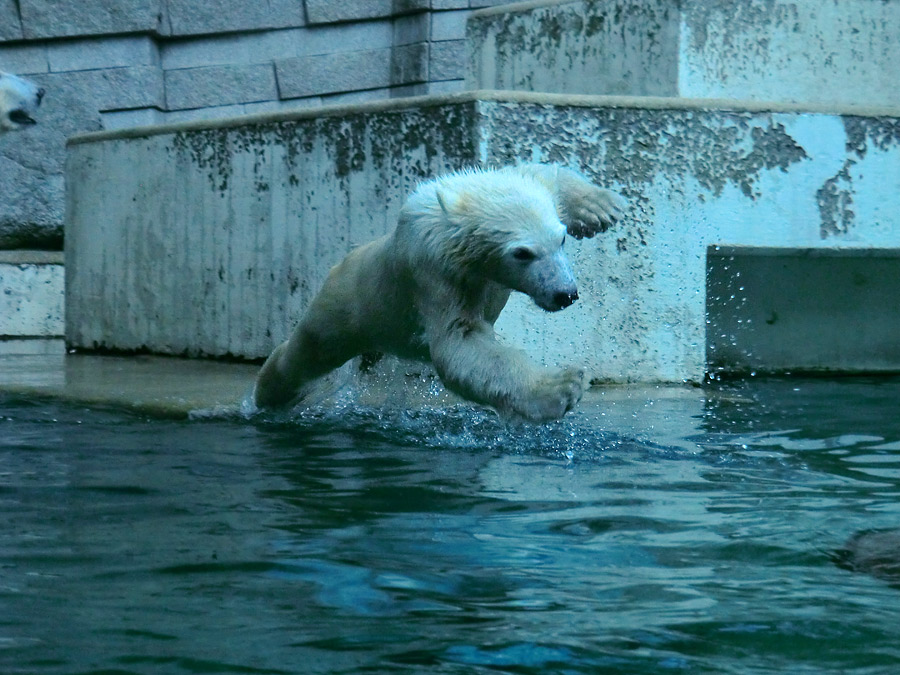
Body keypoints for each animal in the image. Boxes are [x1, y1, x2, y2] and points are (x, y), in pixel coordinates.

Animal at [255, 161, 624, 420]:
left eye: (560, 239)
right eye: (522, 253)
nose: (566, 294)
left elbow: (537, 172)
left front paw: (599, 207)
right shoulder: (438, 273)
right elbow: (459, 341)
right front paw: (562, 386)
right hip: (351, 302)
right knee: (309, 351)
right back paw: (268, 394)